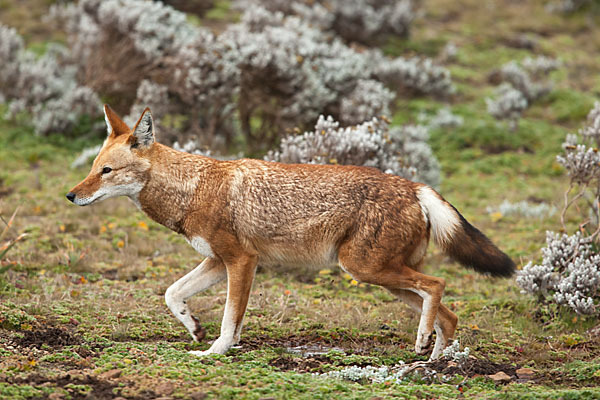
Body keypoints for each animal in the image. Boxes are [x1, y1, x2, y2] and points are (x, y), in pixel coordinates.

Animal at [67, 105, 516, 360]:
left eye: (106, 171)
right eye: (93, 168)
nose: (71, 195)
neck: (194, 188)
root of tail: (414, 186)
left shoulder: (241, 261)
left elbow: (230, 318)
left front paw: (214, 351)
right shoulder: (217, 261)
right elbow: (172, 293)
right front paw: (194, 328)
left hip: (368, 271)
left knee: (437, 286)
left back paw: (424, 347)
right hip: (384, 279)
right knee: (448, 315)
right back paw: (432, 362)